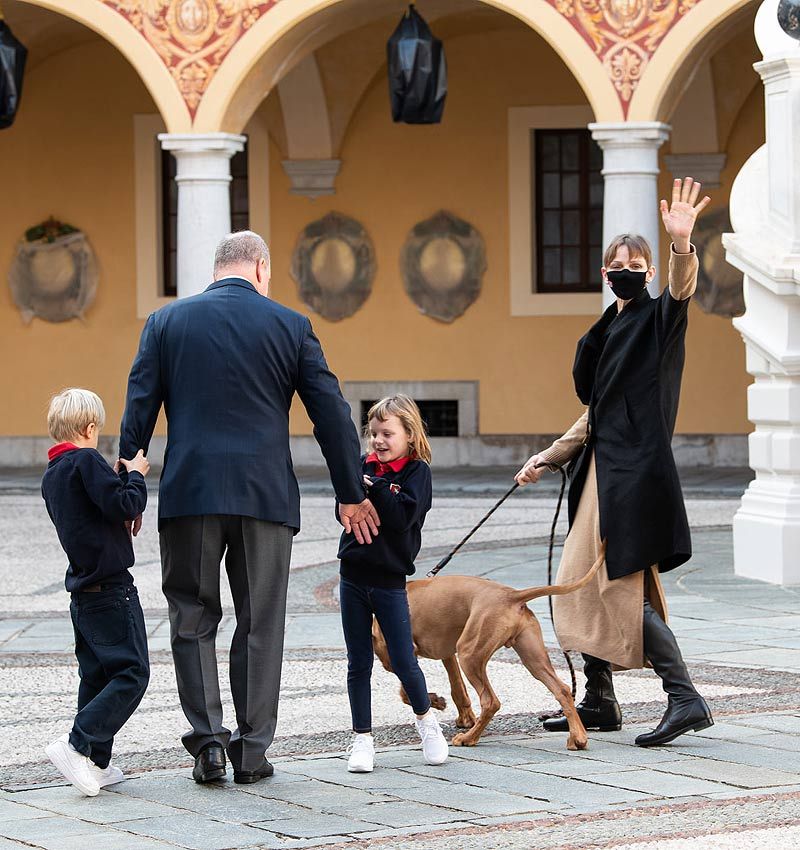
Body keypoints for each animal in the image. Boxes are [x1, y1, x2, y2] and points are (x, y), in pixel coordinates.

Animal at [374, 544, 608, 748]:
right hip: (531, 658)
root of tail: (511, 595)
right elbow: (456, 687)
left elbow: (406, 690)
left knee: (490, 701)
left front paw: (433, 701)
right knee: (562, 689)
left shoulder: (400, 655)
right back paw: (578, 738)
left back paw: (468, 738)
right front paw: (457, 713)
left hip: (470, 654)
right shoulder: (447, 654)